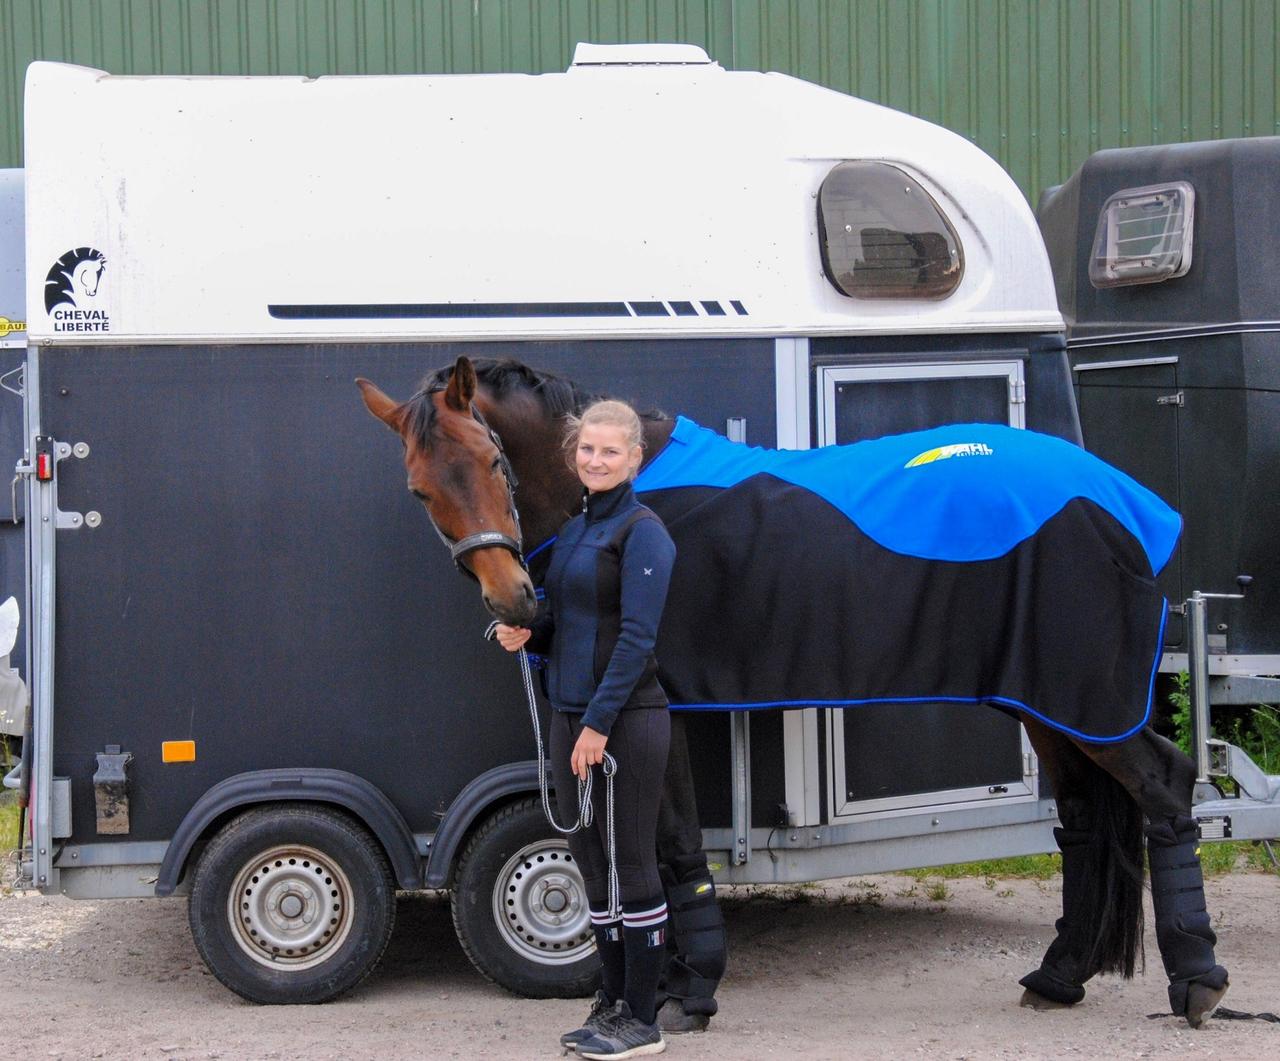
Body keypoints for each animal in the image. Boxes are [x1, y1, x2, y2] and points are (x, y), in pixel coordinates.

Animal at [358, 355, 1228, 1029]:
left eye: (492, 462)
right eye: (421, 491)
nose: (513, 603)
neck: (624, 503)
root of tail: (1121, 500)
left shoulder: (659, 708)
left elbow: (674, 845)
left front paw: (690, 993)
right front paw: (674, 984)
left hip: (1089, 695)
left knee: (1166, 784)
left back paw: (1197, 982)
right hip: (1047, 700)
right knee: (1082, 816)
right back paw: (1059, 975)